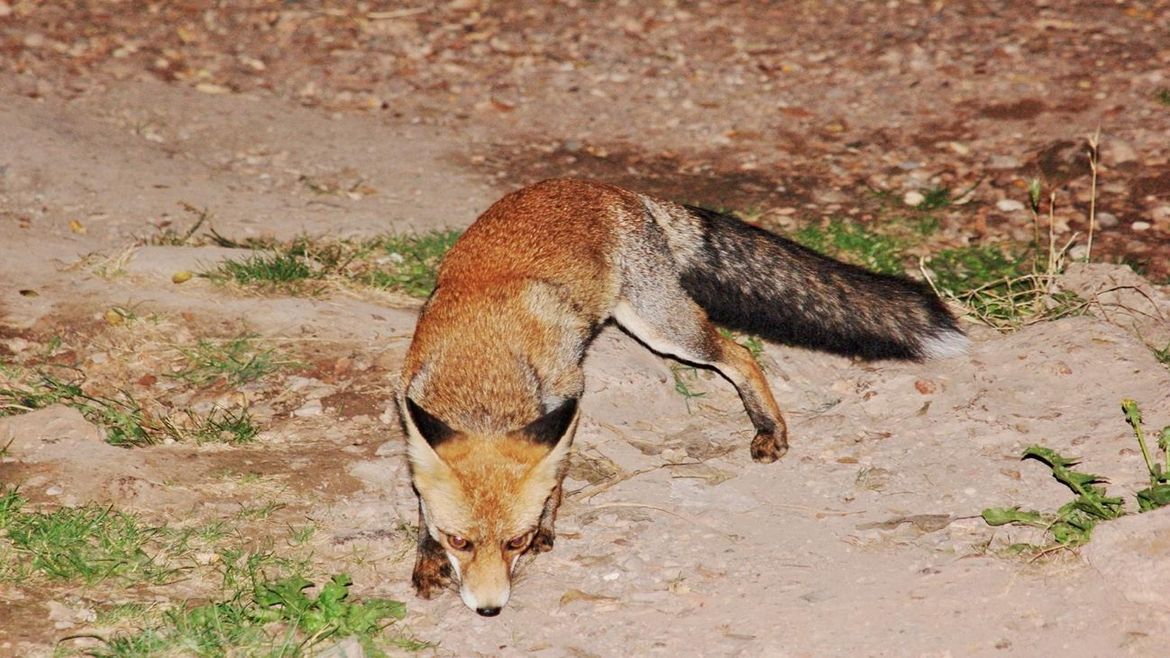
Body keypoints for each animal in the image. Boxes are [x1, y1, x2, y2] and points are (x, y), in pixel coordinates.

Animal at [397, 176, 964, 613]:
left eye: (515, 542)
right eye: (459, 541)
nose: (489, 609)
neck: (482, 375)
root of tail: (615, 189)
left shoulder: (571, 390)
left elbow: (554, 477)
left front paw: (549, 526)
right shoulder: (411, 400)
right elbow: (423, 496)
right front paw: (426, 558)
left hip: (664, 327)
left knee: (740, 353)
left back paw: (770, 428)